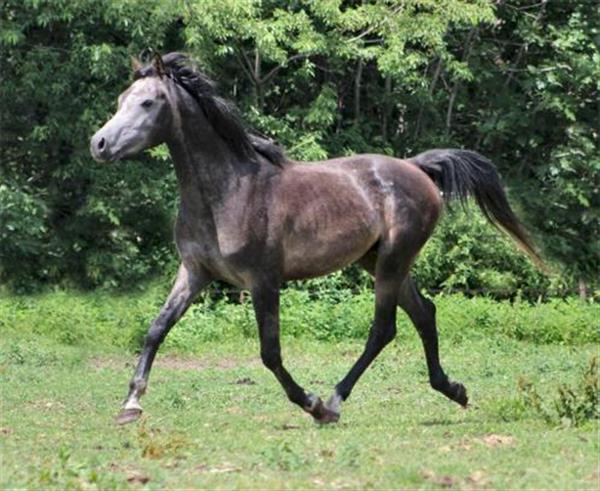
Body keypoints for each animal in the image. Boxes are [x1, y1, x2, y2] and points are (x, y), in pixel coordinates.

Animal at [90, 53, 544, 426]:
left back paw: (336, 401)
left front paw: (311, 403)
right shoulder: (195, 272)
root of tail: (416, 168)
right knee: (424, 314)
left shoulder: (263, 281)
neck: (229, 191)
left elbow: (270, 352)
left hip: (393, 260)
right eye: (121, 98)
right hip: (379, 261)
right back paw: (454, 391)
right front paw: (131, 405)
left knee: (384, 329)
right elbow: (156, 329)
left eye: (149, 102)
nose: (99, 144)